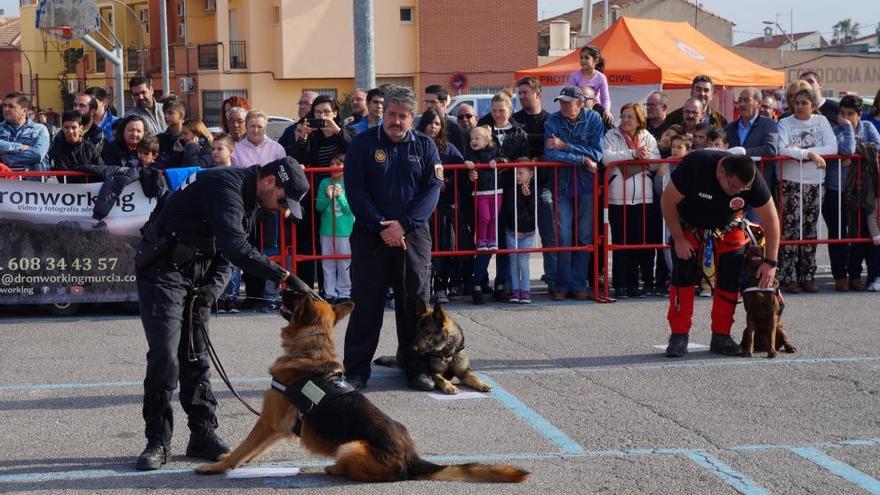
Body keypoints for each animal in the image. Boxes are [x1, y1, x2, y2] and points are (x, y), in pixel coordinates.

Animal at [196, 290, 524, 484]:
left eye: (300, 297)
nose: (284, 286)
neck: (310, 352)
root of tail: (413, 457)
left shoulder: (267, 422)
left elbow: (243, 448)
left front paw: (215, 468)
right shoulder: (277, 427)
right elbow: (249, 451)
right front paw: (230, 461)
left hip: (350, 445)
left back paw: (334, 468)